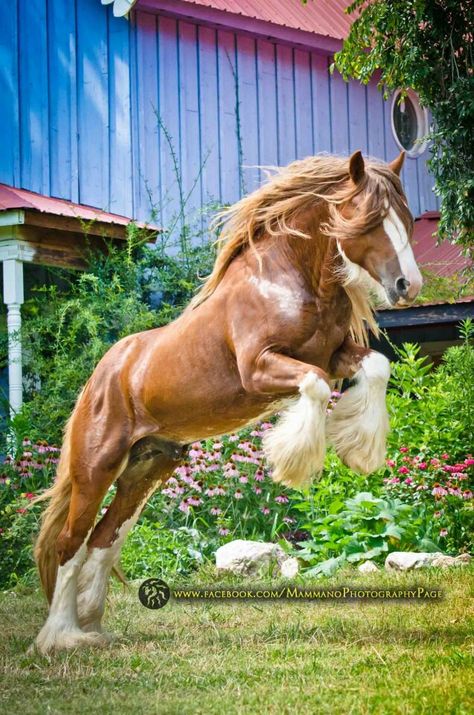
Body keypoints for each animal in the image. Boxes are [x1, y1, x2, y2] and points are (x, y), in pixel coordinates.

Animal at [34, 152, 422, 656]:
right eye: (371, 220)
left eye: (407, 219)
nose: (408, 285)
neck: (284, 280)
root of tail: (101, 376)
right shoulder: (259, 369)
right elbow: (316, 386)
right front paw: (295, 461)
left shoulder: (336, 354)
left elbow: (376, 367)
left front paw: (360, 450)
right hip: (97, 466)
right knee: (70, 542)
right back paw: (59, 638)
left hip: (147, 470)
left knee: (103, 540)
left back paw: (94, 628)